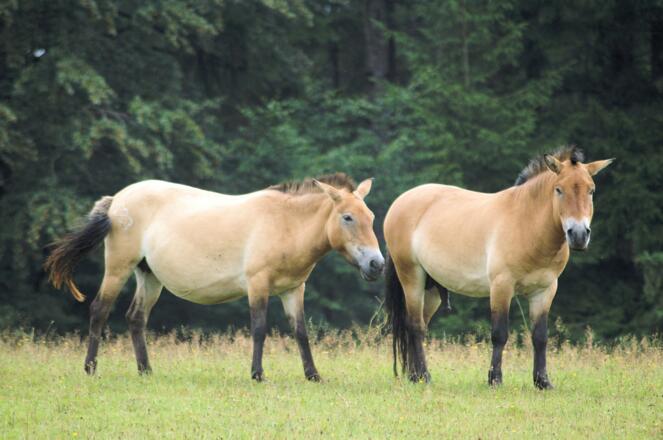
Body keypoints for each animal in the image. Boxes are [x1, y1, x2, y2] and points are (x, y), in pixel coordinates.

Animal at [45, 173, 384, 381]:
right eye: (347, 217)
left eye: (370, 217)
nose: (377, 264)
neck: (286, 223)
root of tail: (116, 200)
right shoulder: (257, 285)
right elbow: (259, 329)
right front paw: (257, 374)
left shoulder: (293, 290)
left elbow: (301, 332)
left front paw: (313, 375)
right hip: (119, 267)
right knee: (100, 310)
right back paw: (90, 368)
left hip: (149, 276)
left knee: (135, 318)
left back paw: (146, 371)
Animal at [383, 147, 613, 388]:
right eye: (559, 190)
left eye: (591, 191)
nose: (578, 235)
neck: (526, 223)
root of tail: (401, 201)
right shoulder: (502, 286)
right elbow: (499, 334)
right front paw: (495, 379)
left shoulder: (545, 291)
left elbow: (540, 336)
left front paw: (542, 382)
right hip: (412, 277)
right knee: (415, 326)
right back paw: (424, 377)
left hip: (432, 288)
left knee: (419, 325)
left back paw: (414, 376)